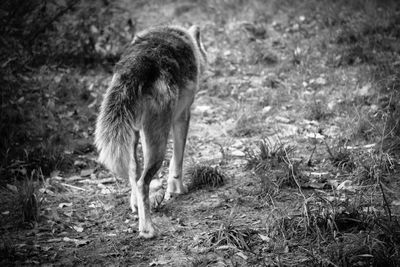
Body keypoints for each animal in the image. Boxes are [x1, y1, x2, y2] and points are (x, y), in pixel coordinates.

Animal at [94, 25, 206, 239]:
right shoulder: (183, 117)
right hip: (157, 141)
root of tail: (137, 64)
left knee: (134, 173)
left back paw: (136, 206)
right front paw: (178, 190)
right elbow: (177, 162)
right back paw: (148, 229)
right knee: (142, 182)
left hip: (133, 138)